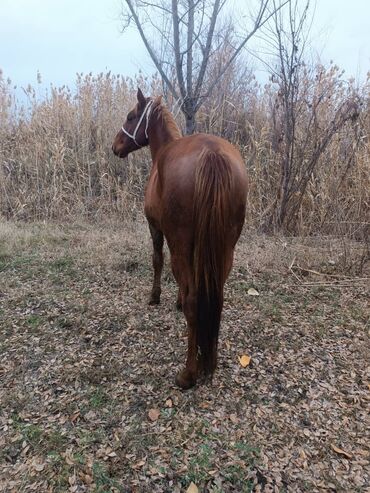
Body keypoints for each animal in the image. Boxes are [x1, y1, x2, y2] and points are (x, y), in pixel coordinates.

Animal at [111, 89, 247, 388]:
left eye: (130, 116)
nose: (115, 146)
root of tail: (212, 155)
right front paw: (176, 300)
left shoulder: (155, 228)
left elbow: (157, 261)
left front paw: (156, 296)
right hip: (225, 249)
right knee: (216, 298)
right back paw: (210, 363)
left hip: (181, 243)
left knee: (195, 302)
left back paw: (188, 373)